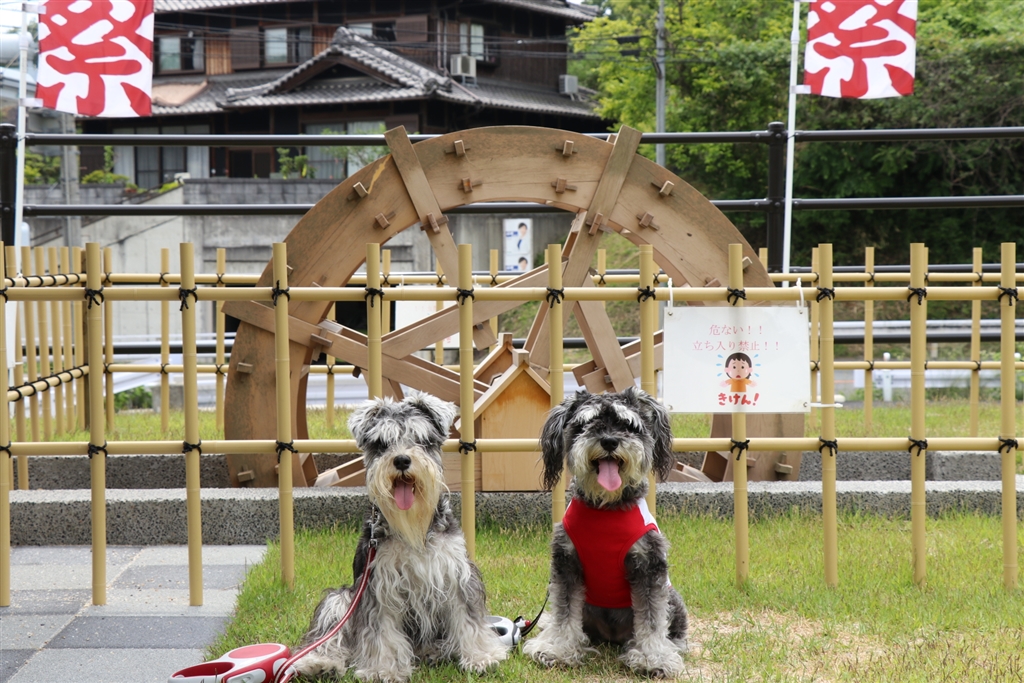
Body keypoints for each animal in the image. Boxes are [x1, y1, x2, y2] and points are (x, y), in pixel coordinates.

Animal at [295, 393, 507, 682]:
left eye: (421, 438)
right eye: (382, 443)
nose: (402, 460)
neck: (413, 529)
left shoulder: (457, 577)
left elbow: (468, 618)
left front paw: (481, 656)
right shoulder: (378, 587)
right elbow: (381, 632)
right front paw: (383, 669)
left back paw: (433, 651)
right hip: (341, 600)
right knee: (327, 637)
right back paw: (319, 663)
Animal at [523, 387, 688, 678]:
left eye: (627, 425)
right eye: (585, 423)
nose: (610, 441)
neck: (607, 508)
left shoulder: (649, 565)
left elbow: (652, 619)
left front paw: (653, 658)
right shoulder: (566, 564)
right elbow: (565, 612)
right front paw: (557, 649)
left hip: (673, 598)